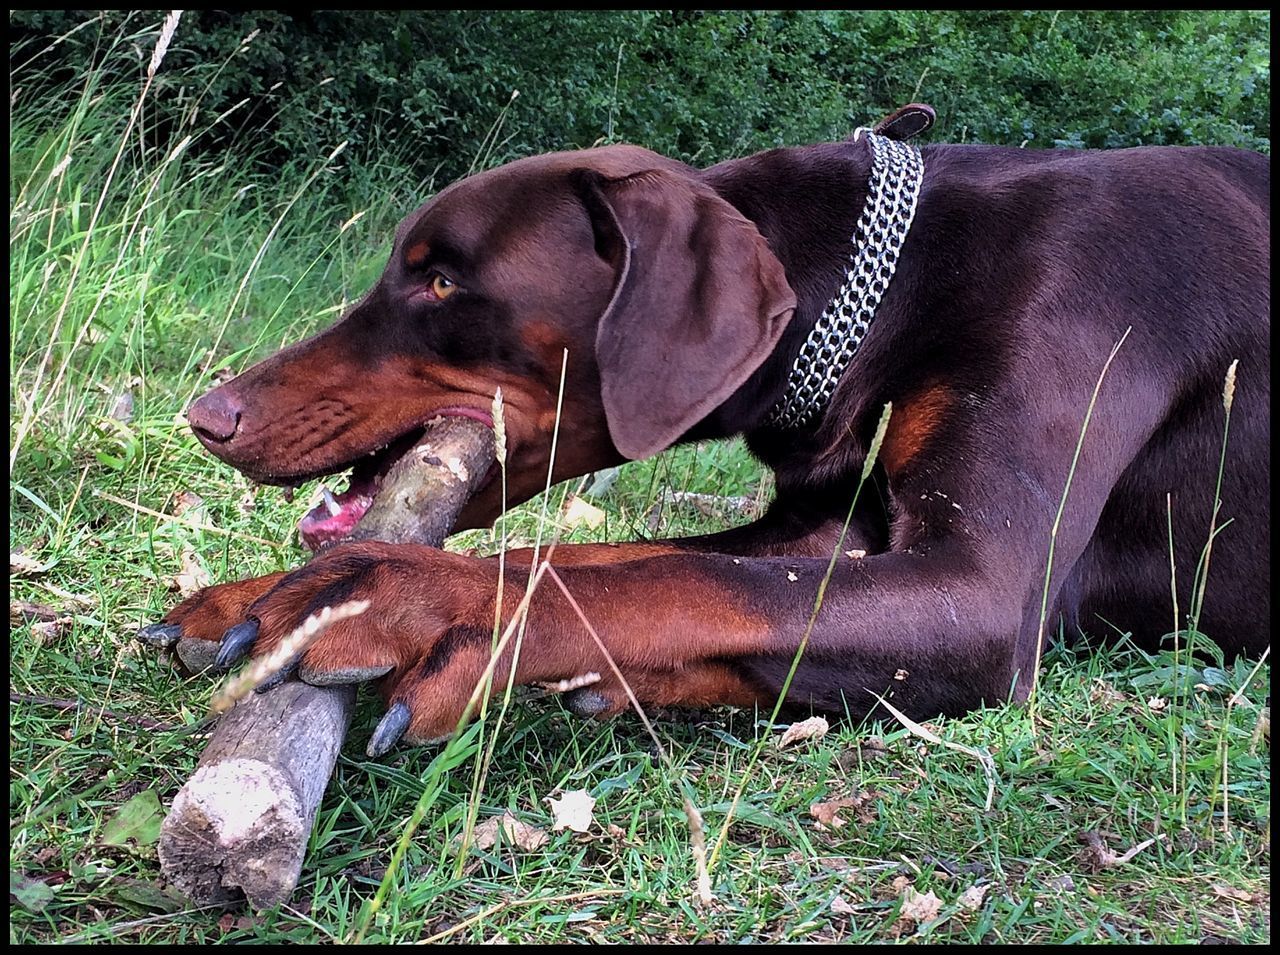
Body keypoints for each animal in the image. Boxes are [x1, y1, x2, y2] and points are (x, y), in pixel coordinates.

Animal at [142, 111, 1269, 747]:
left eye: (443, 281)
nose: (207, 415)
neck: (906, 281)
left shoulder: (983, 589)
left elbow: (669, 580)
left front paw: (396, 593)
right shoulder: (827, 522)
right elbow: (622, 560)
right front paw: (264, 589)